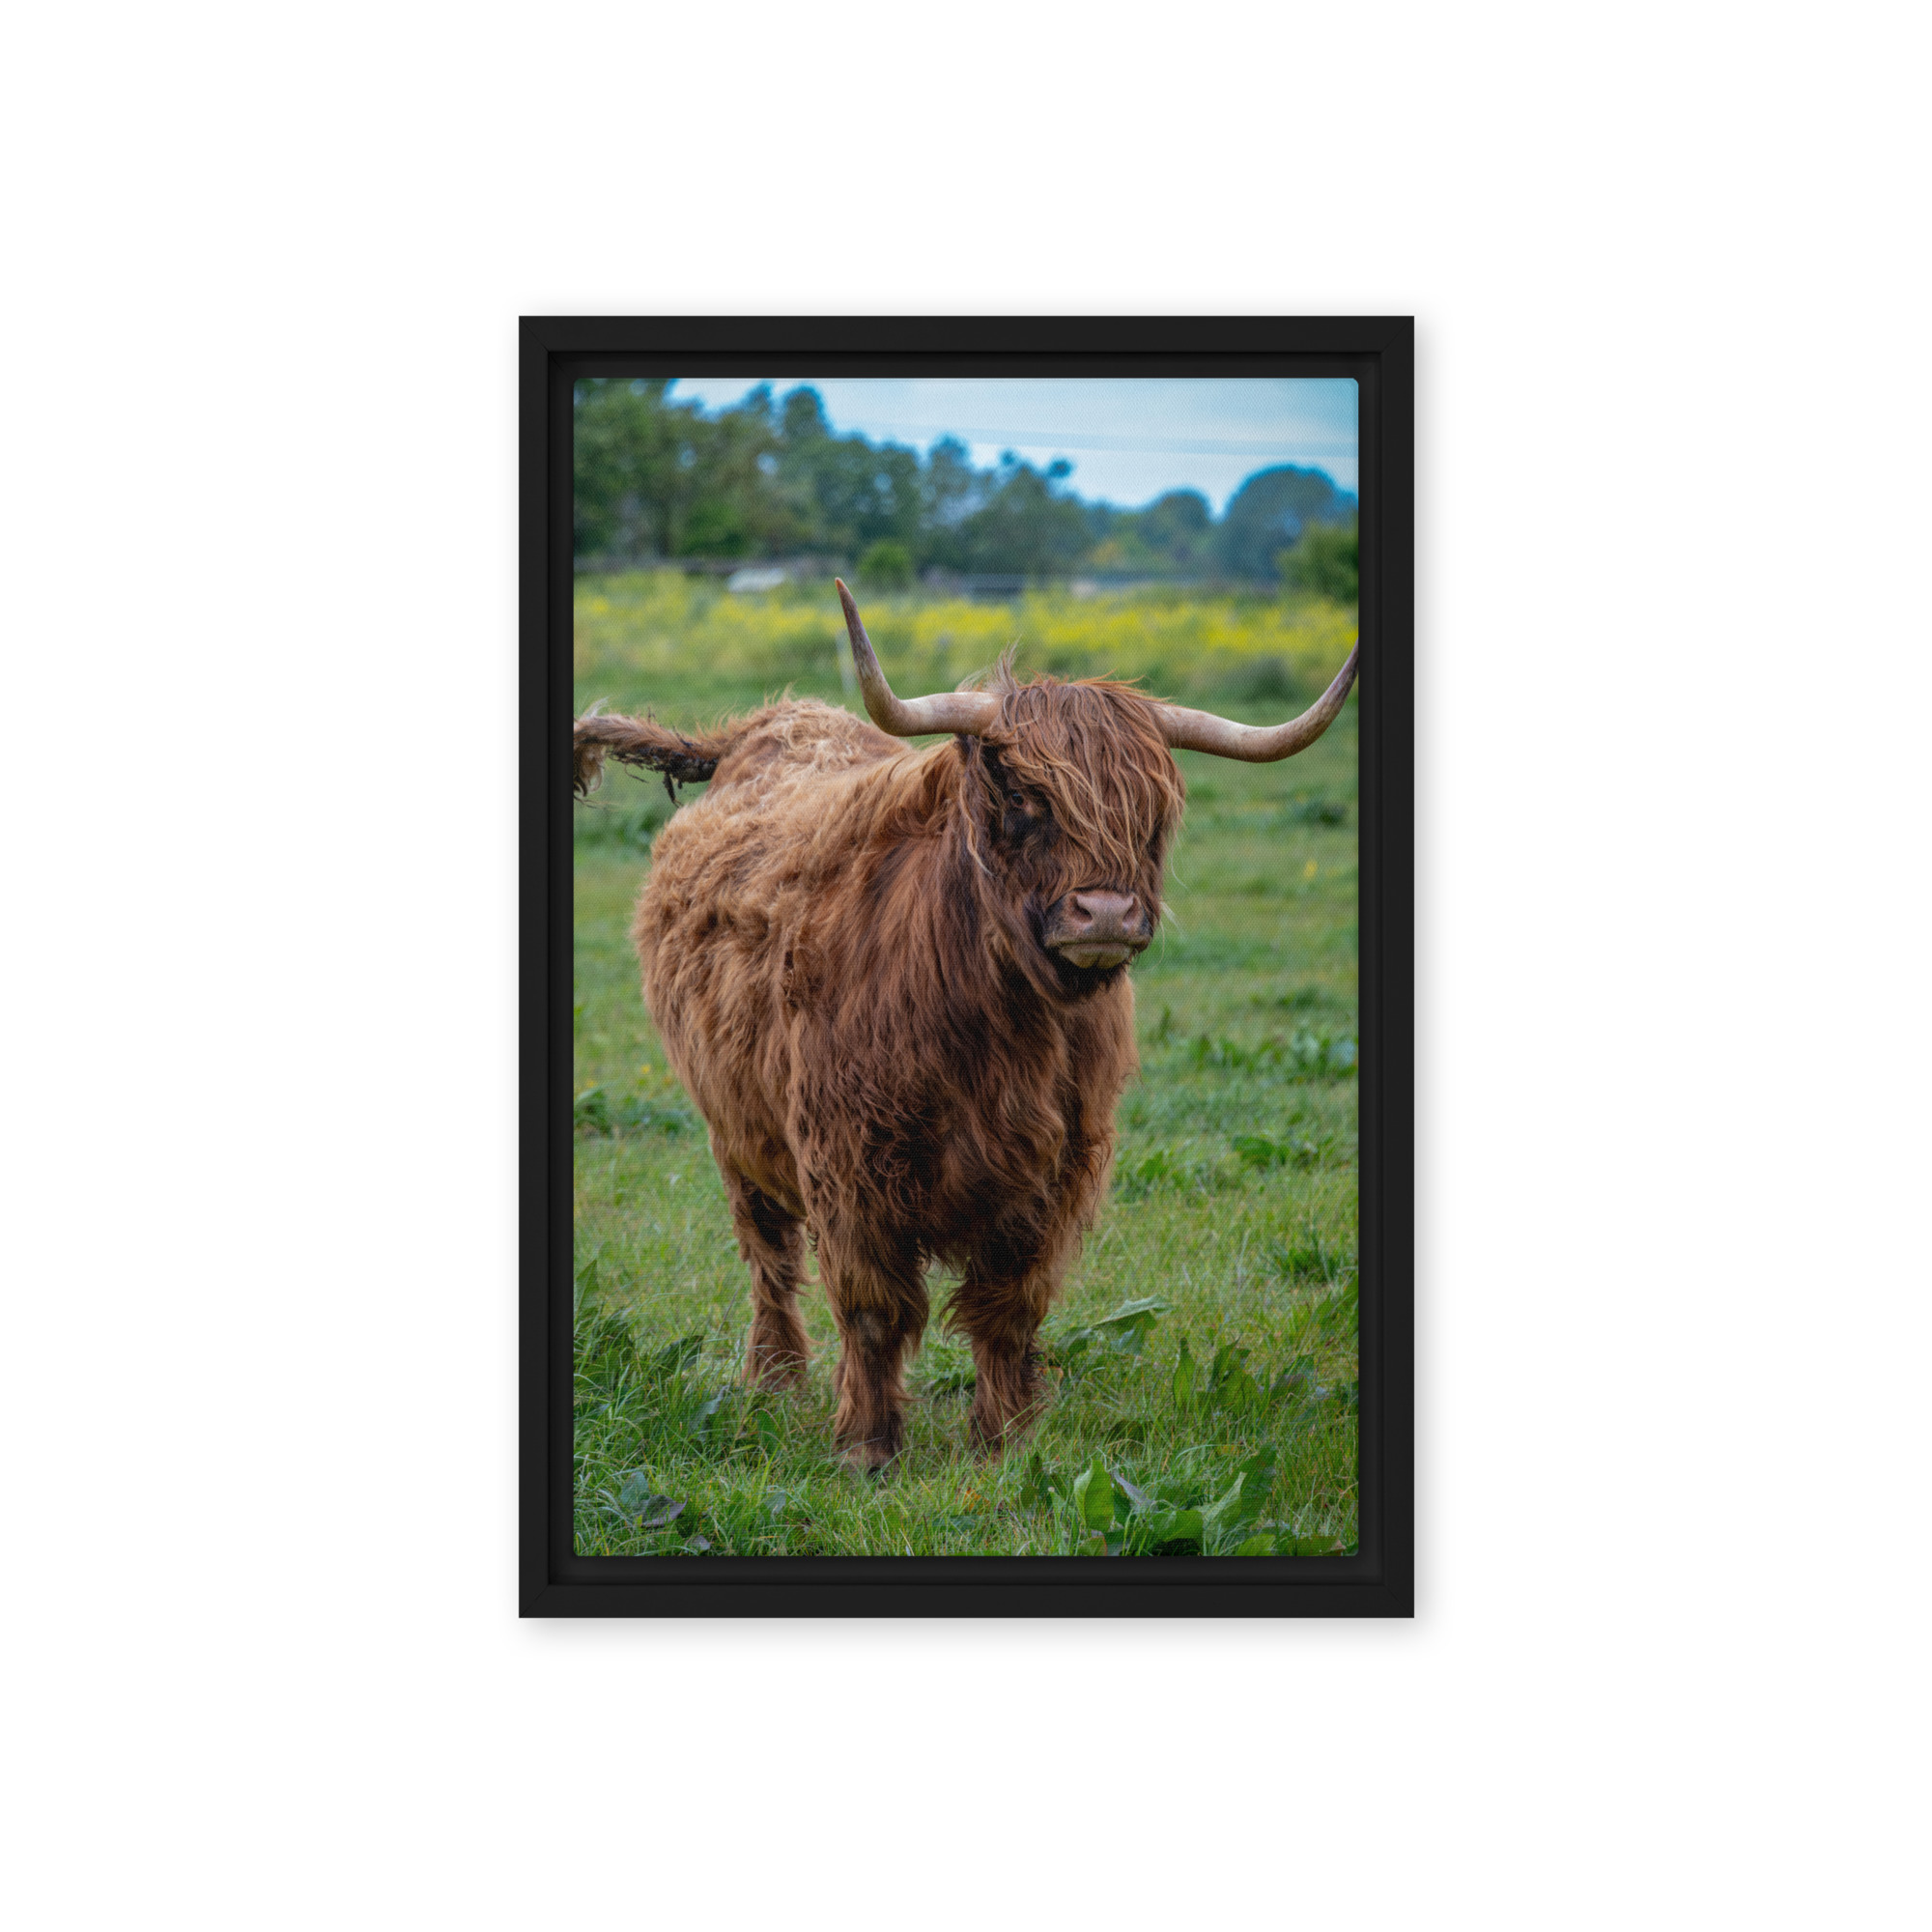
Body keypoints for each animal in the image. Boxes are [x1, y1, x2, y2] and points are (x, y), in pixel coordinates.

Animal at [572, 582, 1360, 1469]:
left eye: (1152, 808)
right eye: (1022, 798)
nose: (1106, 913)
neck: (995, 1029)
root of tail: (772, 719)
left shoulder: (1057, 1169)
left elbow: (1008, 1306)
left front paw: (1004, 1438)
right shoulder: (847, 1159)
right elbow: (874, 1307)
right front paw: (867, 1447)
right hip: (733, 1121)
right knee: (768, 1254)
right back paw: (773, 1378)